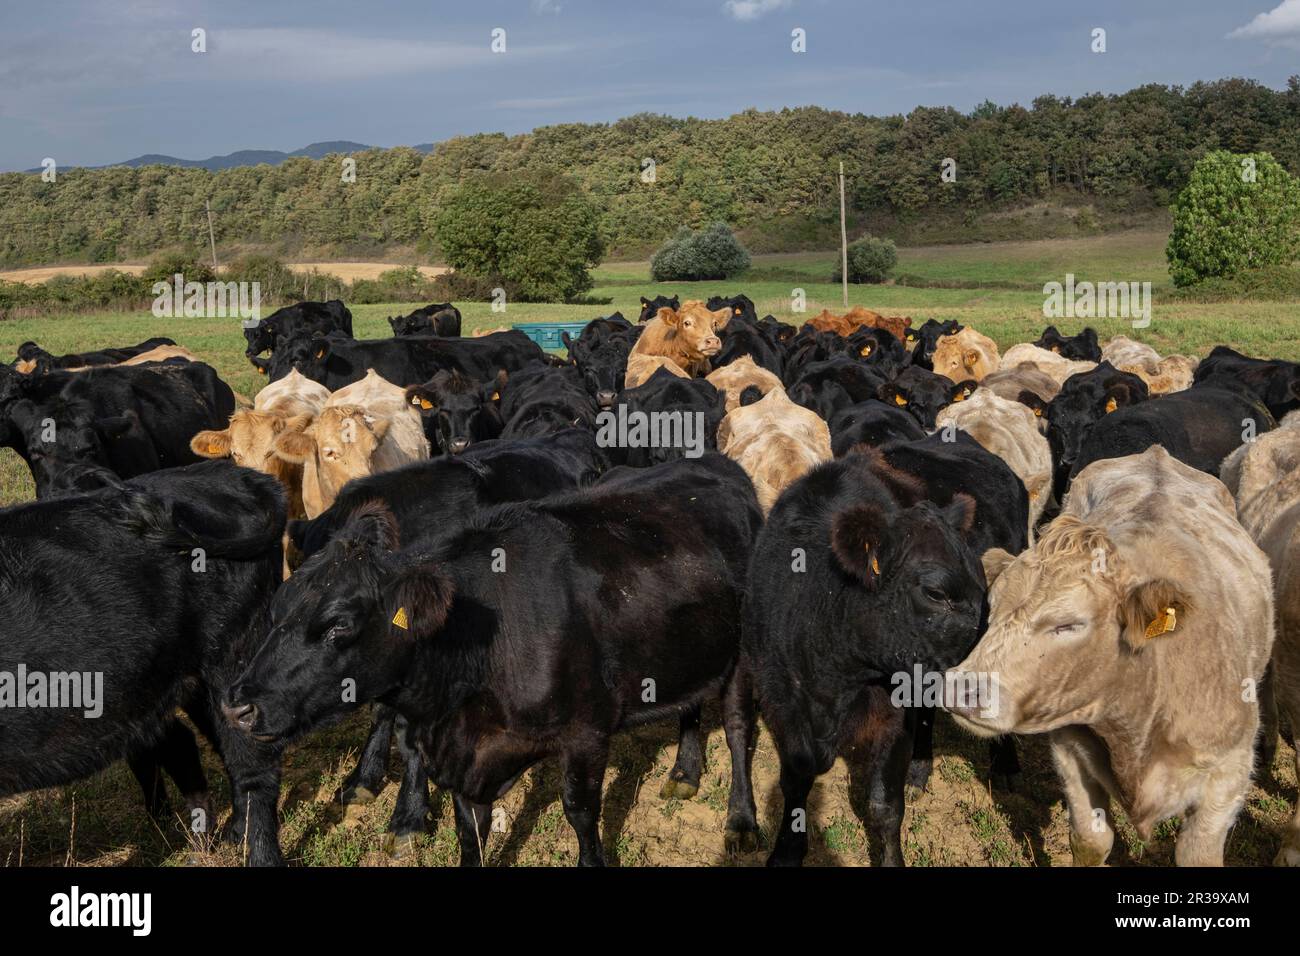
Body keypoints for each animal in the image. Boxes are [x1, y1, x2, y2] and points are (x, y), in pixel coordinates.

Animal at [0, 463, 287, 868]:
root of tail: (233, 473)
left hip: (236, 658)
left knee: (252, 766)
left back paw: (256, 854)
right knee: (190, 746)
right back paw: (207, 840)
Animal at [226, 455, 759, 868]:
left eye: (339, 625)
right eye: (276, 609)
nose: (237, 706)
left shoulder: (587, 732)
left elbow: (581, 812)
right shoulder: (466, 761)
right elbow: (470, 833)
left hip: (742, 657)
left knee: (737, 731)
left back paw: (742, 822)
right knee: (690, 704)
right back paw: (685, 774)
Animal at [738, 452, 977, 863]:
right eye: (936, 592)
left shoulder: (894, 715)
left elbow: (885, 806)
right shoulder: (782, 702)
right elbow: (796, 780)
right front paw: (787, 849)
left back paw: (919, 769)